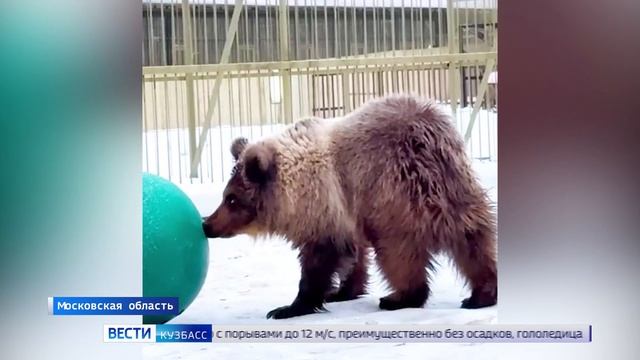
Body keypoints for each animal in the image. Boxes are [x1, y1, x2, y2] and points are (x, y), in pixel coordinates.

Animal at [202, 94, 498, 320]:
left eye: (231, 198)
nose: (207, 223)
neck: (292, 190)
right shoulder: (347, 210)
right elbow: (354, 254)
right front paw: (342, 291)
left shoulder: (325, 206)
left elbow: (318, 259)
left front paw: (289, 307)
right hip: (453, 186)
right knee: (472, 238)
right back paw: (482, 292)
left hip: (395, 195)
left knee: (399, 252)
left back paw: (399, 297)